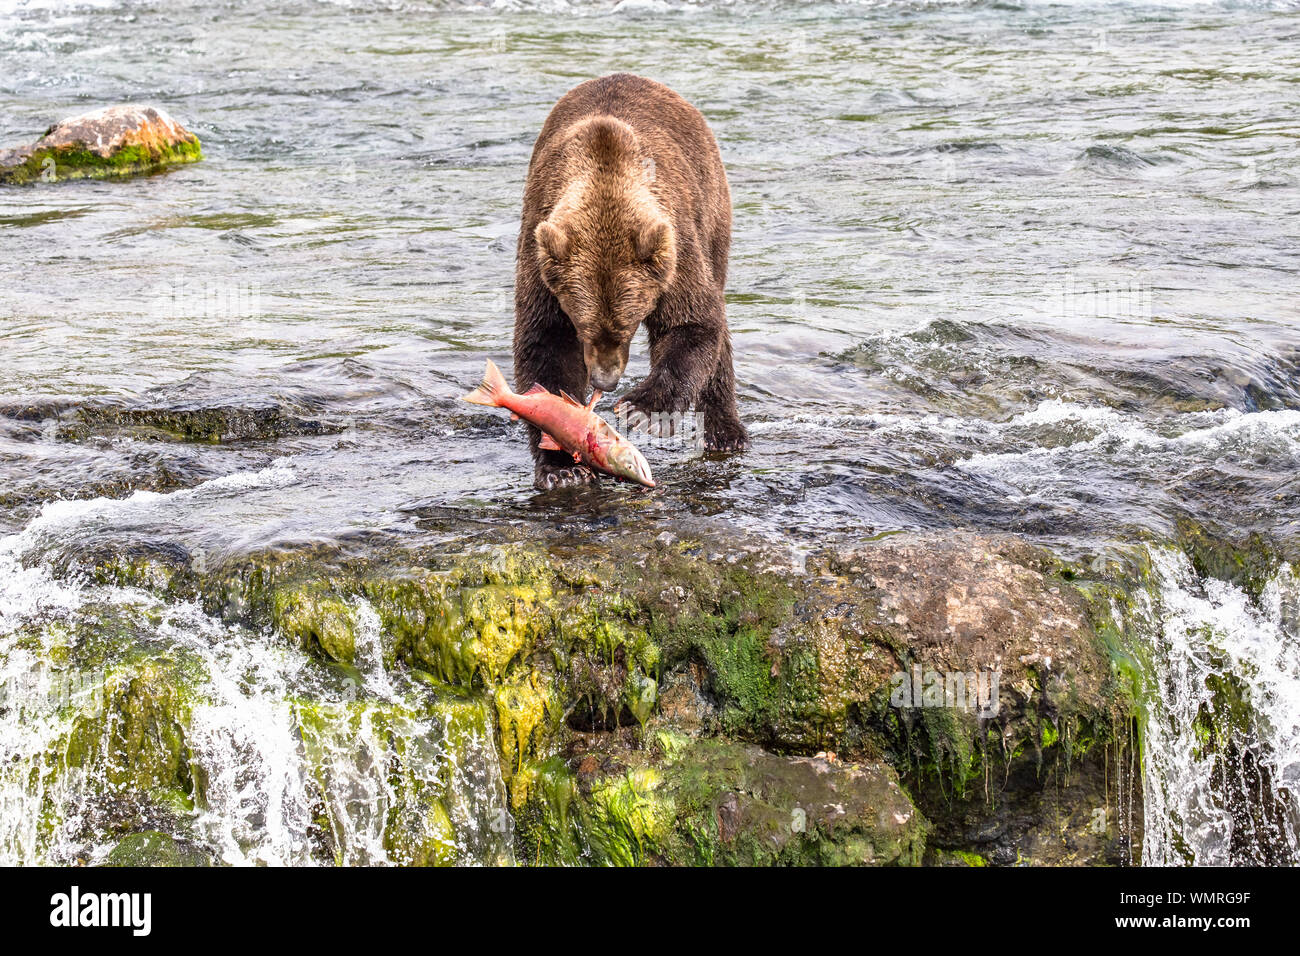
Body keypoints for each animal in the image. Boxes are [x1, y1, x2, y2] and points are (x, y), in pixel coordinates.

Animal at [512, 71, 748, 489]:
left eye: (628, 324)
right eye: (584, 326)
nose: (605, 382)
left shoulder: (673, 248)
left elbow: (693, 322)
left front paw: (640, 410)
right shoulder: (540, 254)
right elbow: (545, 342)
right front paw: (562, 466)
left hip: (712, 209)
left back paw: (725, 432)